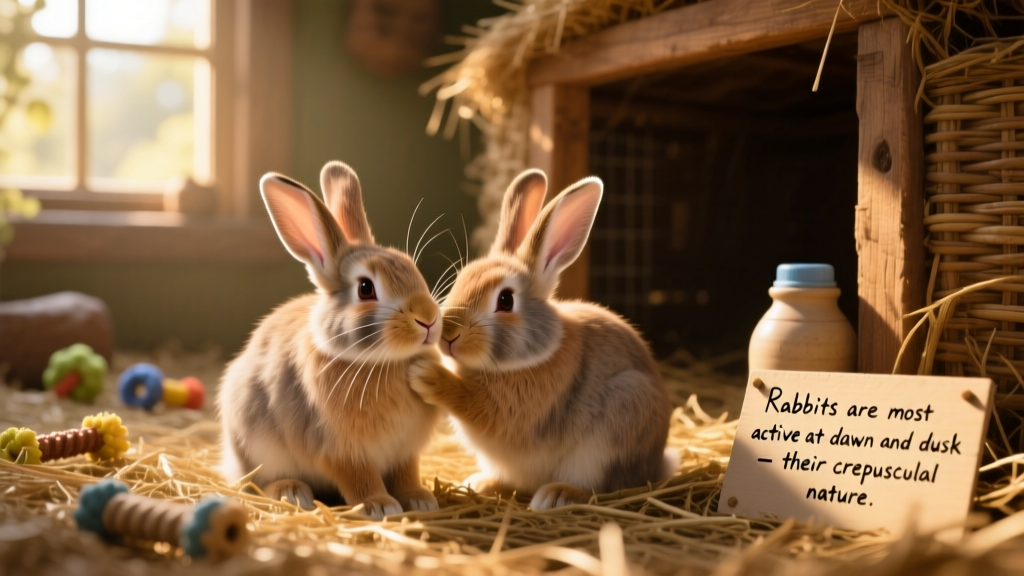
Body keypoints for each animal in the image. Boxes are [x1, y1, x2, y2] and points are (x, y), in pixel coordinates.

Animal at [218, 160, 442, 520]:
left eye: (411, 267)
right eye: (365, 288)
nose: (429, 319)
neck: (383, 362)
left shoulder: (405, 450)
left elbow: (408, 473)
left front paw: (420, 500)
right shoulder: (340, 451)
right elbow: (359, 479)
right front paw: (380, 506)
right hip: (256, 446)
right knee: (257, 482)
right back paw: (292, 492)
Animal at [409, 169, 677, 510]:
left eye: (506, 300)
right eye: (460, 280)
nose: (448, 336)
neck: (534, 354)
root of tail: (656, 465)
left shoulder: (510, 410)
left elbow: (472, 402)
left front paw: (426, 375)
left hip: (616, 424)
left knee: (600, 486)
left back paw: (556, 495)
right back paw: (481, 483)